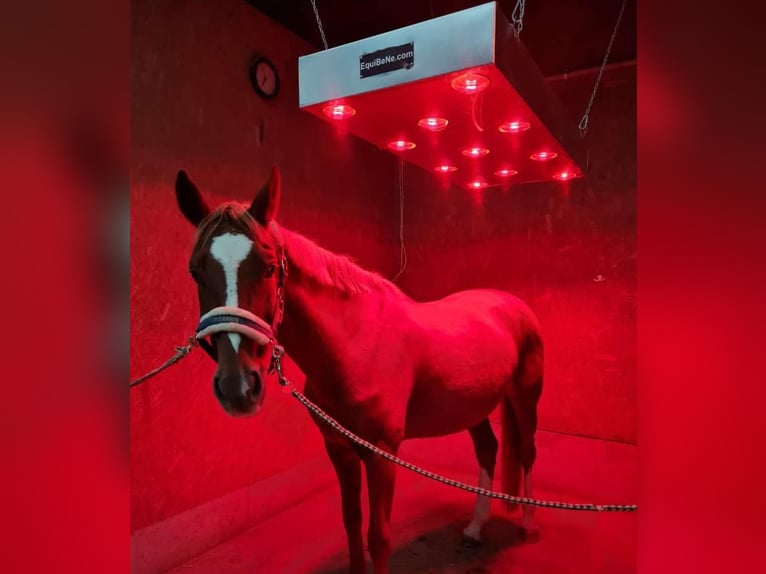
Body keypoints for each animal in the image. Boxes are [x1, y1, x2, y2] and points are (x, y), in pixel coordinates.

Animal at [174, 166, 544, 574]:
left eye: (269, 268)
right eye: (195, 272)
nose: (238, 388)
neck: (355, 345)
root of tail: (513, 305)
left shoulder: (381, 454)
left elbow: (377, 537)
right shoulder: (340, 449)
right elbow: (351, 522)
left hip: (525, 398)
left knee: (527, 452)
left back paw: (527, 526)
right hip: (472, 408)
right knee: (488, 449)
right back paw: (475, 528)